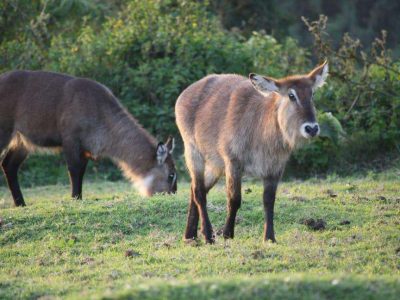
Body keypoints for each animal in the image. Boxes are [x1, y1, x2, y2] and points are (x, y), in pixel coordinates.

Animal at [0, 70, 177, 206]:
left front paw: (79, 198)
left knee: (9, 165)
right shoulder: (71, 140)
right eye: (171, 175)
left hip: (22, 141)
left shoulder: (85, 149)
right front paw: (74, 199)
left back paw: (21, 204)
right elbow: (74, 170)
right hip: (5, 132)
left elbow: (81, 172)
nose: (173, 195)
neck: (100, 111)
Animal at [176, 61, 328, 244]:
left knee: (195, 189)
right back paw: (207, 235)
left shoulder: (274, 169)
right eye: (291, 95)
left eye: (312, 94)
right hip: (193, 152)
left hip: (215, 165)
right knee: (199, 192)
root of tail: (187, 92)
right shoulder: (233, 162)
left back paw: (190, 234)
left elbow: (269, 201)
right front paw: (227, 234)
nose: (311, 128)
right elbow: (234, 199)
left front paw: (269, 237)